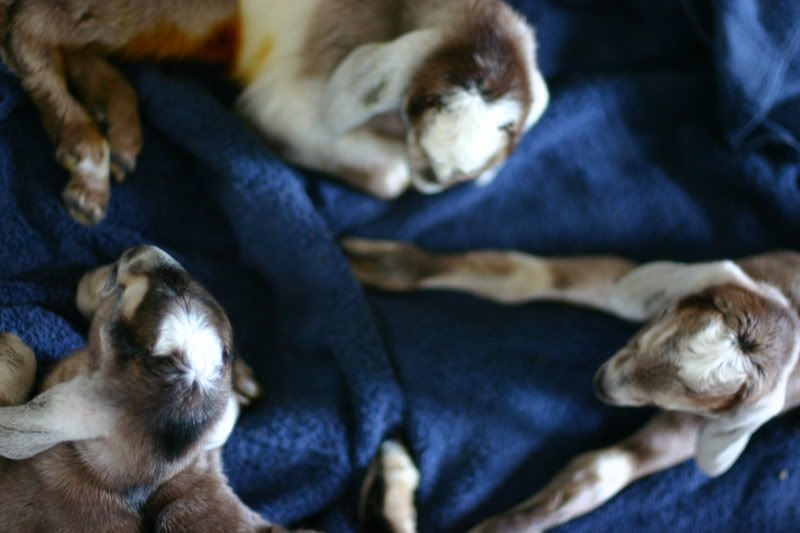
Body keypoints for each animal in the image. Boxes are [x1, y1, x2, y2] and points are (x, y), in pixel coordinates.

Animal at [1, 0, 548, 224]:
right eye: (427, 100)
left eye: (508, 126)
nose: (441, 171)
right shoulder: (307, 71)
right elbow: (389, 176)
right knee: (28, 25)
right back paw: (85, 156)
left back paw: (119, 132)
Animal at [343, 238, 800, 532]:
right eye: (642, 336)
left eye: (655, 398)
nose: (602, 387)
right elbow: (530, 277)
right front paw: (377, 263)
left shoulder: (721, 417)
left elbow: (603, 469)